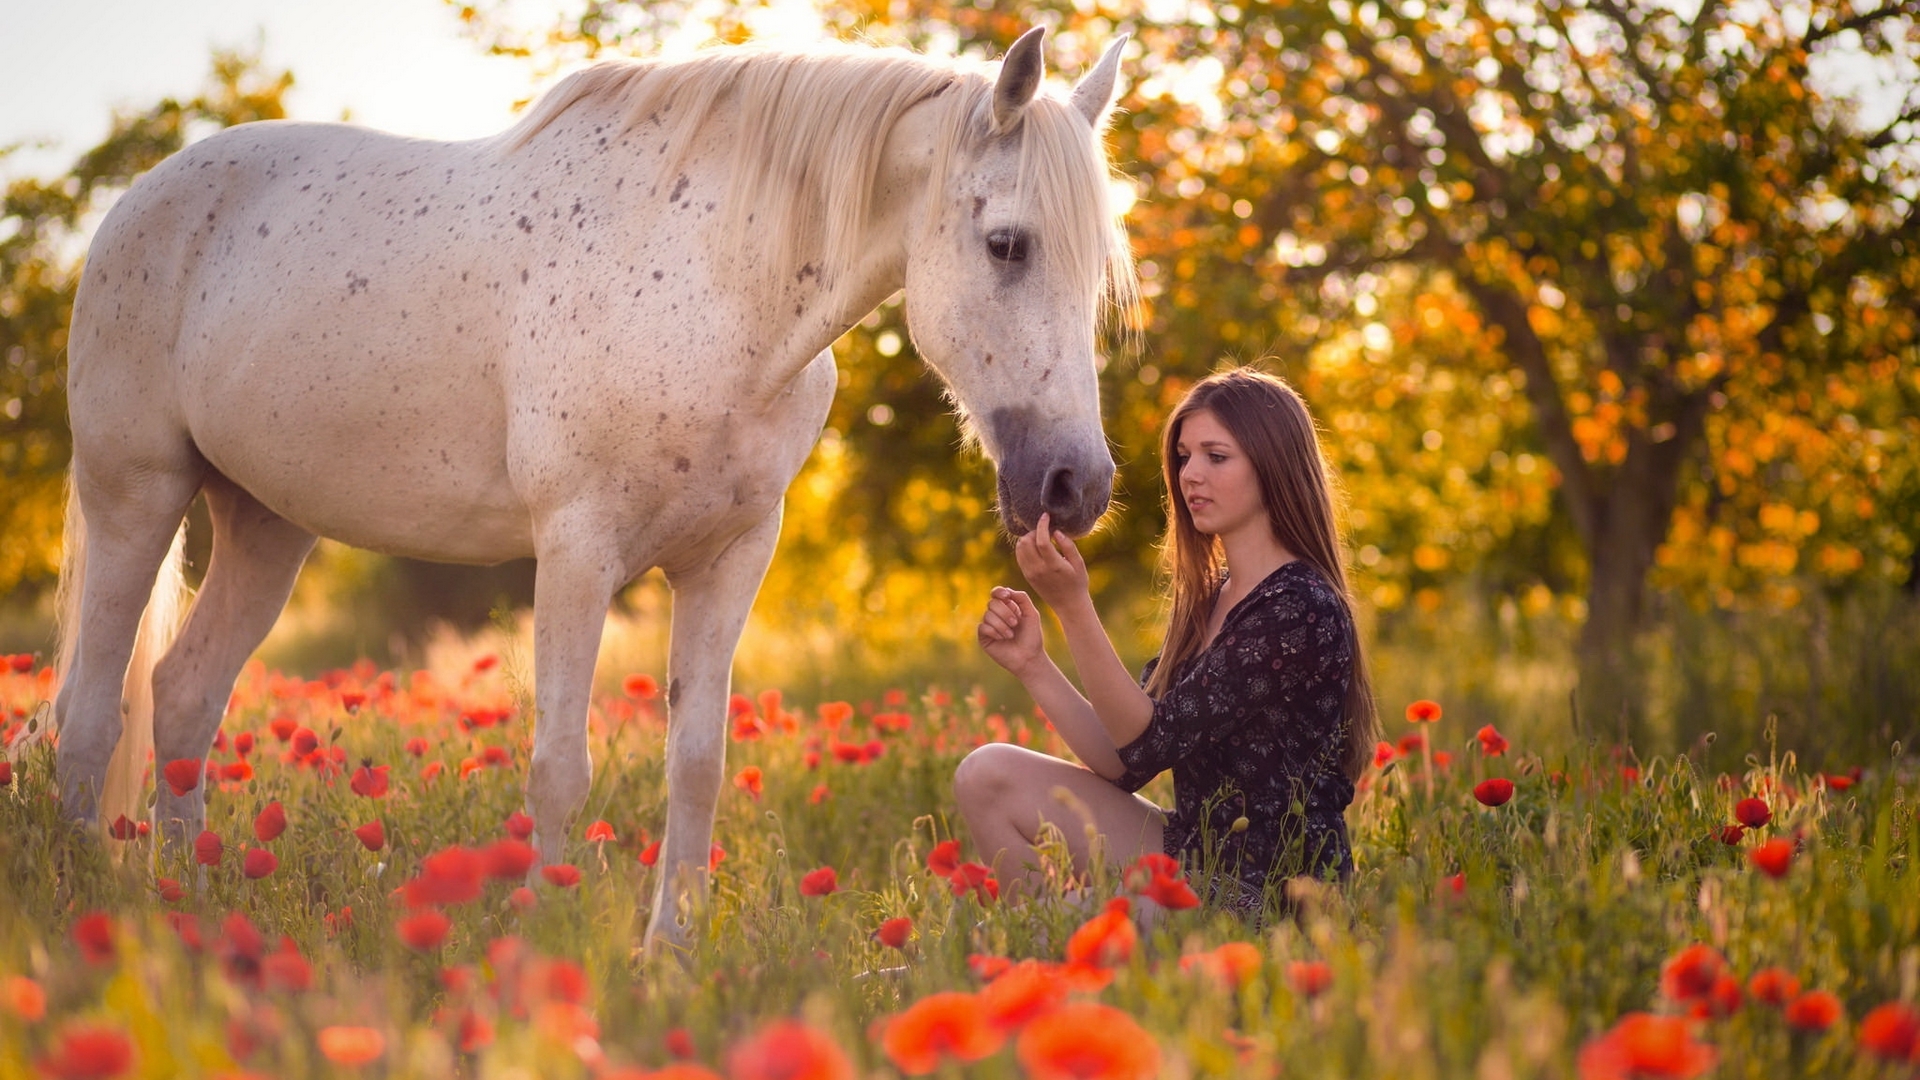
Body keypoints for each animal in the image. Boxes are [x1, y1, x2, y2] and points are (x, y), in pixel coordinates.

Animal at [49, 26, 1137, 953]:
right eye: (1007, 244)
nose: (1075, 485)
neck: (711, 287)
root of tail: (141, 204)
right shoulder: (577, 549)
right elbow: (558, 768)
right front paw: (545, 943)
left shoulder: (730, 557)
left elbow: (695, 764)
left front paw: (673, 957)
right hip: (136, 496)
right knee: (91, 711)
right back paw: (85, 904)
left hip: (267, 525)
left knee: (184, 697)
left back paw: (188, 902)